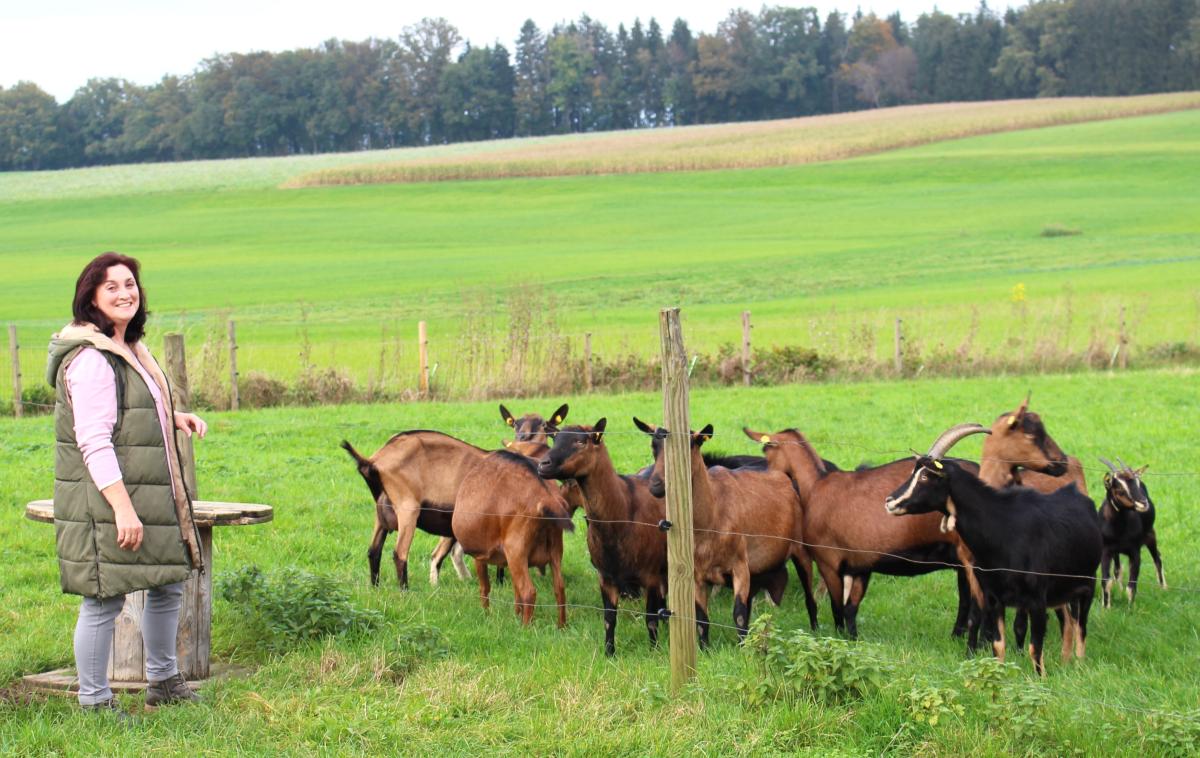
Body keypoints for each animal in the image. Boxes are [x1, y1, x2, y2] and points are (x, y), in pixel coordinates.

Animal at [453, 453, 576, 623]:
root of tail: (546, 497)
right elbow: (515, 588)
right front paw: (516, 614)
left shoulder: (481, 555)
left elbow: (485, 587)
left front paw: (486, 614)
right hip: (555, 550)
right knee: (559, 588)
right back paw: (561, 626)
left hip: (516, 550)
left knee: (529, 591)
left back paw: (526, 627)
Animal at [540, 419, 672, 657]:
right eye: (555, 439)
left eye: (580, 441)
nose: (542, 464)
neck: (623, 509)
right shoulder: (606, 576)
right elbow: (609, 618)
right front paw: (609, 653)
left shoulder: (650, 576)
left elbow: (650, 619)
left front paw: (654, 650)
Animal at [643, 419, 820, 647]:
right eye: (653, 446)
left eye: (691, 445)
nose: (656, 485)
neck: (711, 518)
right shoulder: (697, 575)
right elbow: (702, 619)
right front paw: (705, 648)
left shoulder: (740, 566)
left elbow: (739, 614)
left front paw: (743, 649)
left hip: (800, 550)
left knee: (809, 597)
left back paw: (815, 631)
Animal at [739, 426, 984, 638]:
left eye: (766, 451)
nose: (762, 477)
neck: (815, 486)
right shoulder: (859, 565)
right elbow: (851, 609)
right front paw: (853, 639)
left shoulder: (829, 561)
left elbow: (837, 608)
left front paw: (838, 638)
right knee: (967, 598)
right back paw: (958, 636)